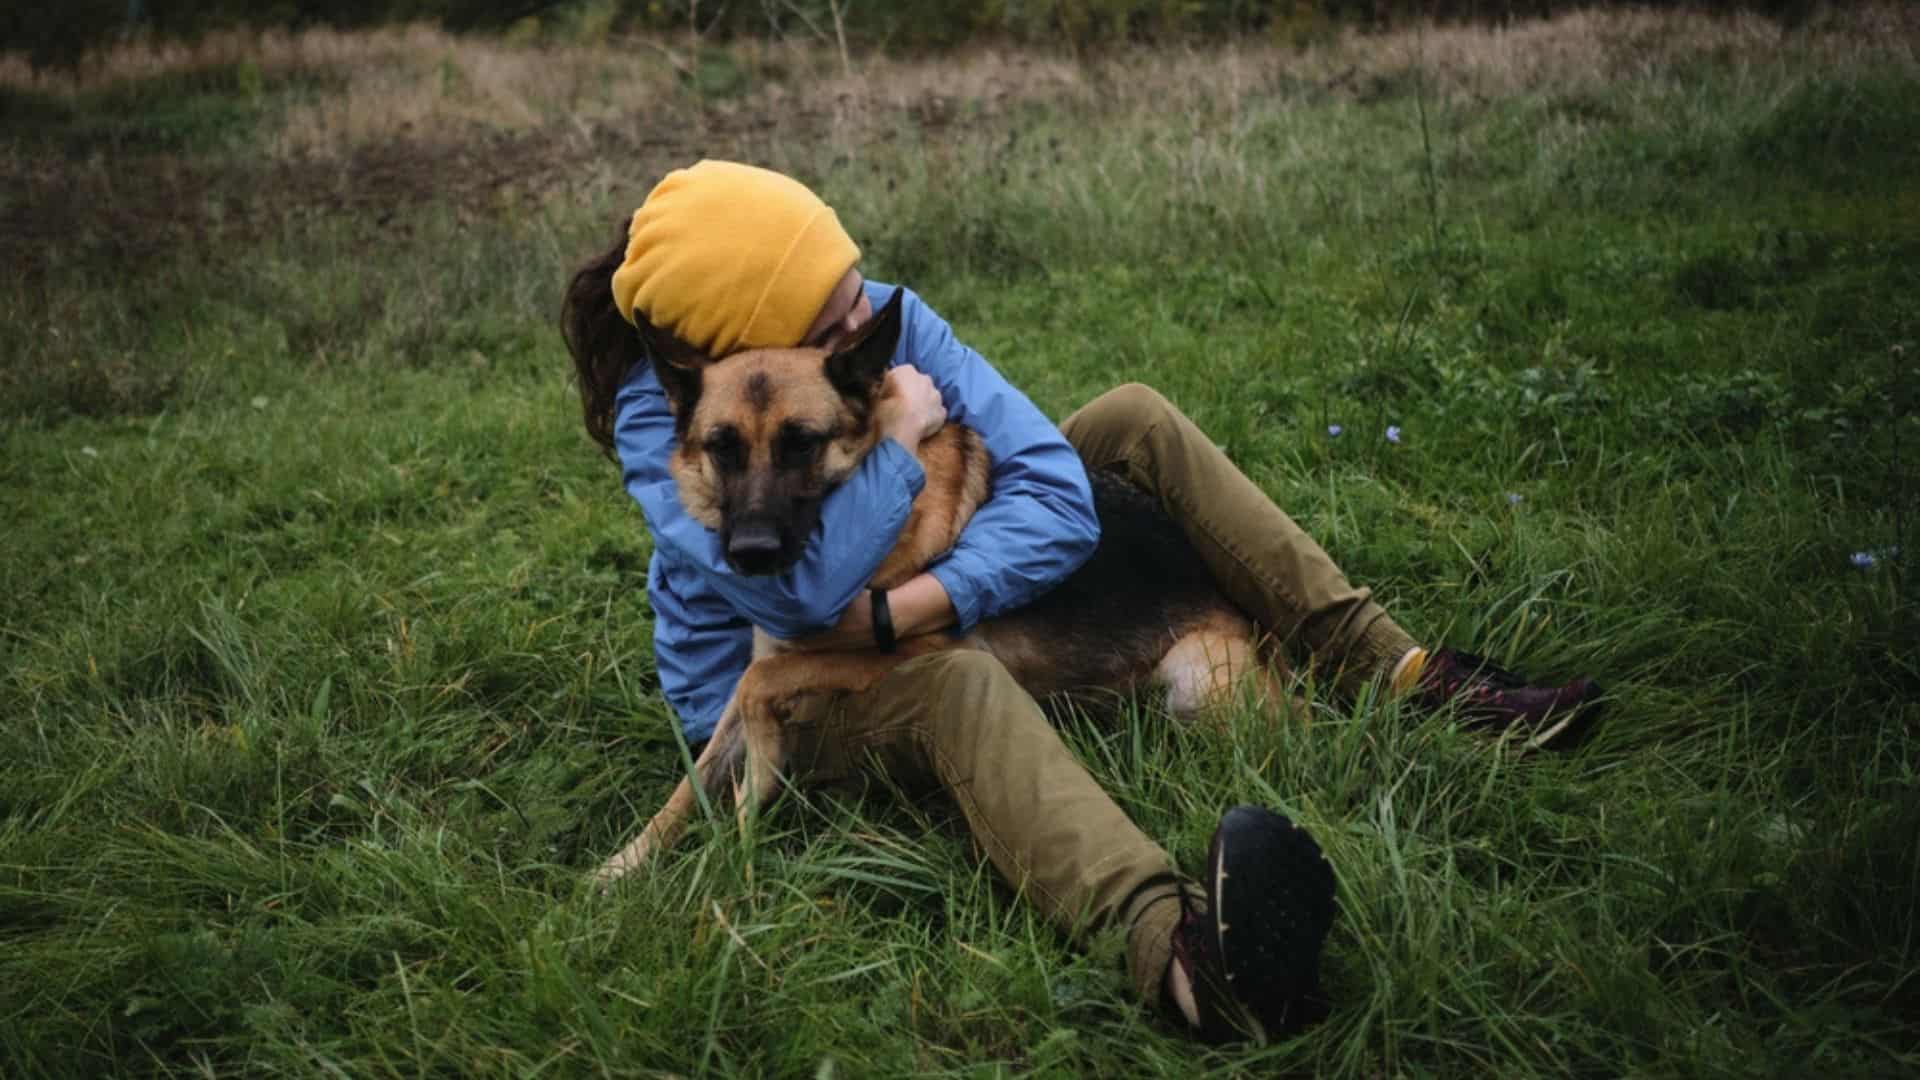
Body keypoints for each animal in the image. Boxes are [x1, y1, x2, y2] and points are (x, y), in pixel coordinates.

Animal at [591, 290, 1282, 880]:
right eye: (723, 447)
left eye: (802, 443)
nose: (751, 554)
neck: (868, 495)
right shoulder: (771, 664)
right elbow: (694, 776)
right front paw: (623, 867)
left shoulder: (912, 648)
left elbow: (758, 688)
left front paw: (746, 808)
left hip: (1196, 684)